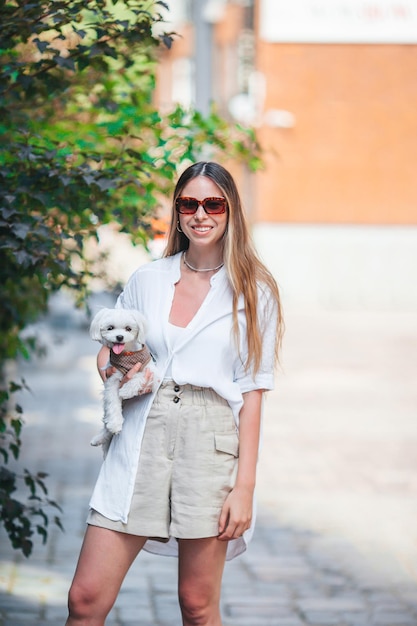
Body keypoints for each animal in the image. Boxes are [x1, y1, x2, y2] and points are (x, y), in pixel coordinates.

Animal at [90, 306, 156, 444]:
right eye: (110, 328)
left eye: (128, 328)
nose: (119, 337)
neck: (127, 354)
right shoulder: (112, 380)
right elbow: (113, 403)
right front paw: (115, 424)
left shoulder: (153, 374)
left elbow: (139, 376)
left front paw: (127, 390)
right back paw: (99, 438)